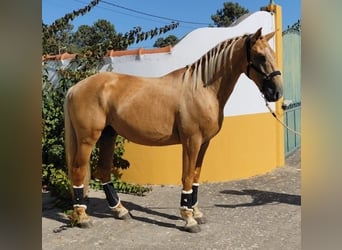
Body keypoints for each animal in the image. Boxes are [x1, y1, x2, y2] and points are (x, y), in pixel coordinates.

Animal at [65, 28, 284, 233]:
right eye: (260, 56)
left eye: (272, 53)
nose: (276, 93)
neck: (202, 89)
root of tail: (75, 88)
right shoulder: (191, 141)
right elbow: (186, 177)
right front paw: (188, 219)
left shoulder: (204, 143)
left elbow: (195, 176)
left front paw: (197, 212)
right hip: (87, 139)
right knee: (78, 170)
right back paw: (83, 217)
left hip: (108, 135)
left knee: (103, 171)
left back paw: (120, 210)